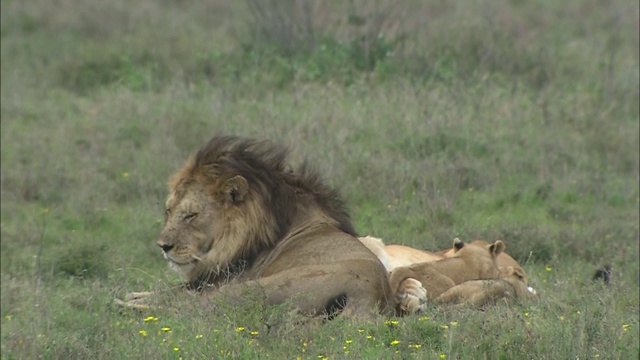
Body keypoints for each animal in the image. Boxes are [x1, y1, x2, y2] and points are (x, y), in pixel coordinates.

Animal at [117, 136, 392, 320]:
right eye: (168, 211)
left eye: (191, 215)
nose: (163, 246)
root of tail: (370, 297)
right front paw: (134, 293)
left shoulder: (217, 282)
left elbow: (171, 293)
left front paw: (127, 297)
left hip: (252, 287)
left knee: (189, 311)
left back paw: (122, 307)